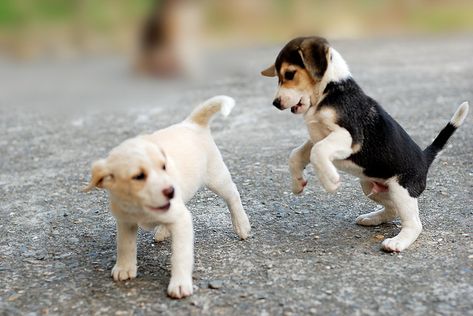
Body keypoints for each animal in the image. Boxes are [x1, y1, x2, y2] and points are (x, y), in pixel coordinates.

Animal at [83, 95, 251, 298]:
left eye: (163, 166)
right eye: (138, 176)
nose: (171, 190)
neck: (141, 208)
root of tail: (191, 123)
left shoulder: (181, 220)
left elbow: (180, 254)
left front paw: (179, 284)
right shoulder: (125, 221)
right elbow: (125, 245)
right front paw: (124, 267)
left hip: (217, 177)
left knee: (233, 194)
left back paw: (242, 225)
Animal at [262, 37, 468, 253]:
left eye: (289, 74)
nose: (276, 103)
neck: (329, 90)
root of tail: (424, 157)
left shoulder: (349, 137)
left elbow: (318, 152)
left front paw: (330, 181)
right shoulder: (317, 136)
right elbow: (296, 154)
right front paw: (297, 183)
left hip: (401, 190)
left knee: (414, 224)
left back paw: (397, 242)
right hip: (370, 184)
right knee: (392, 210)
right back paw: (372, 218)